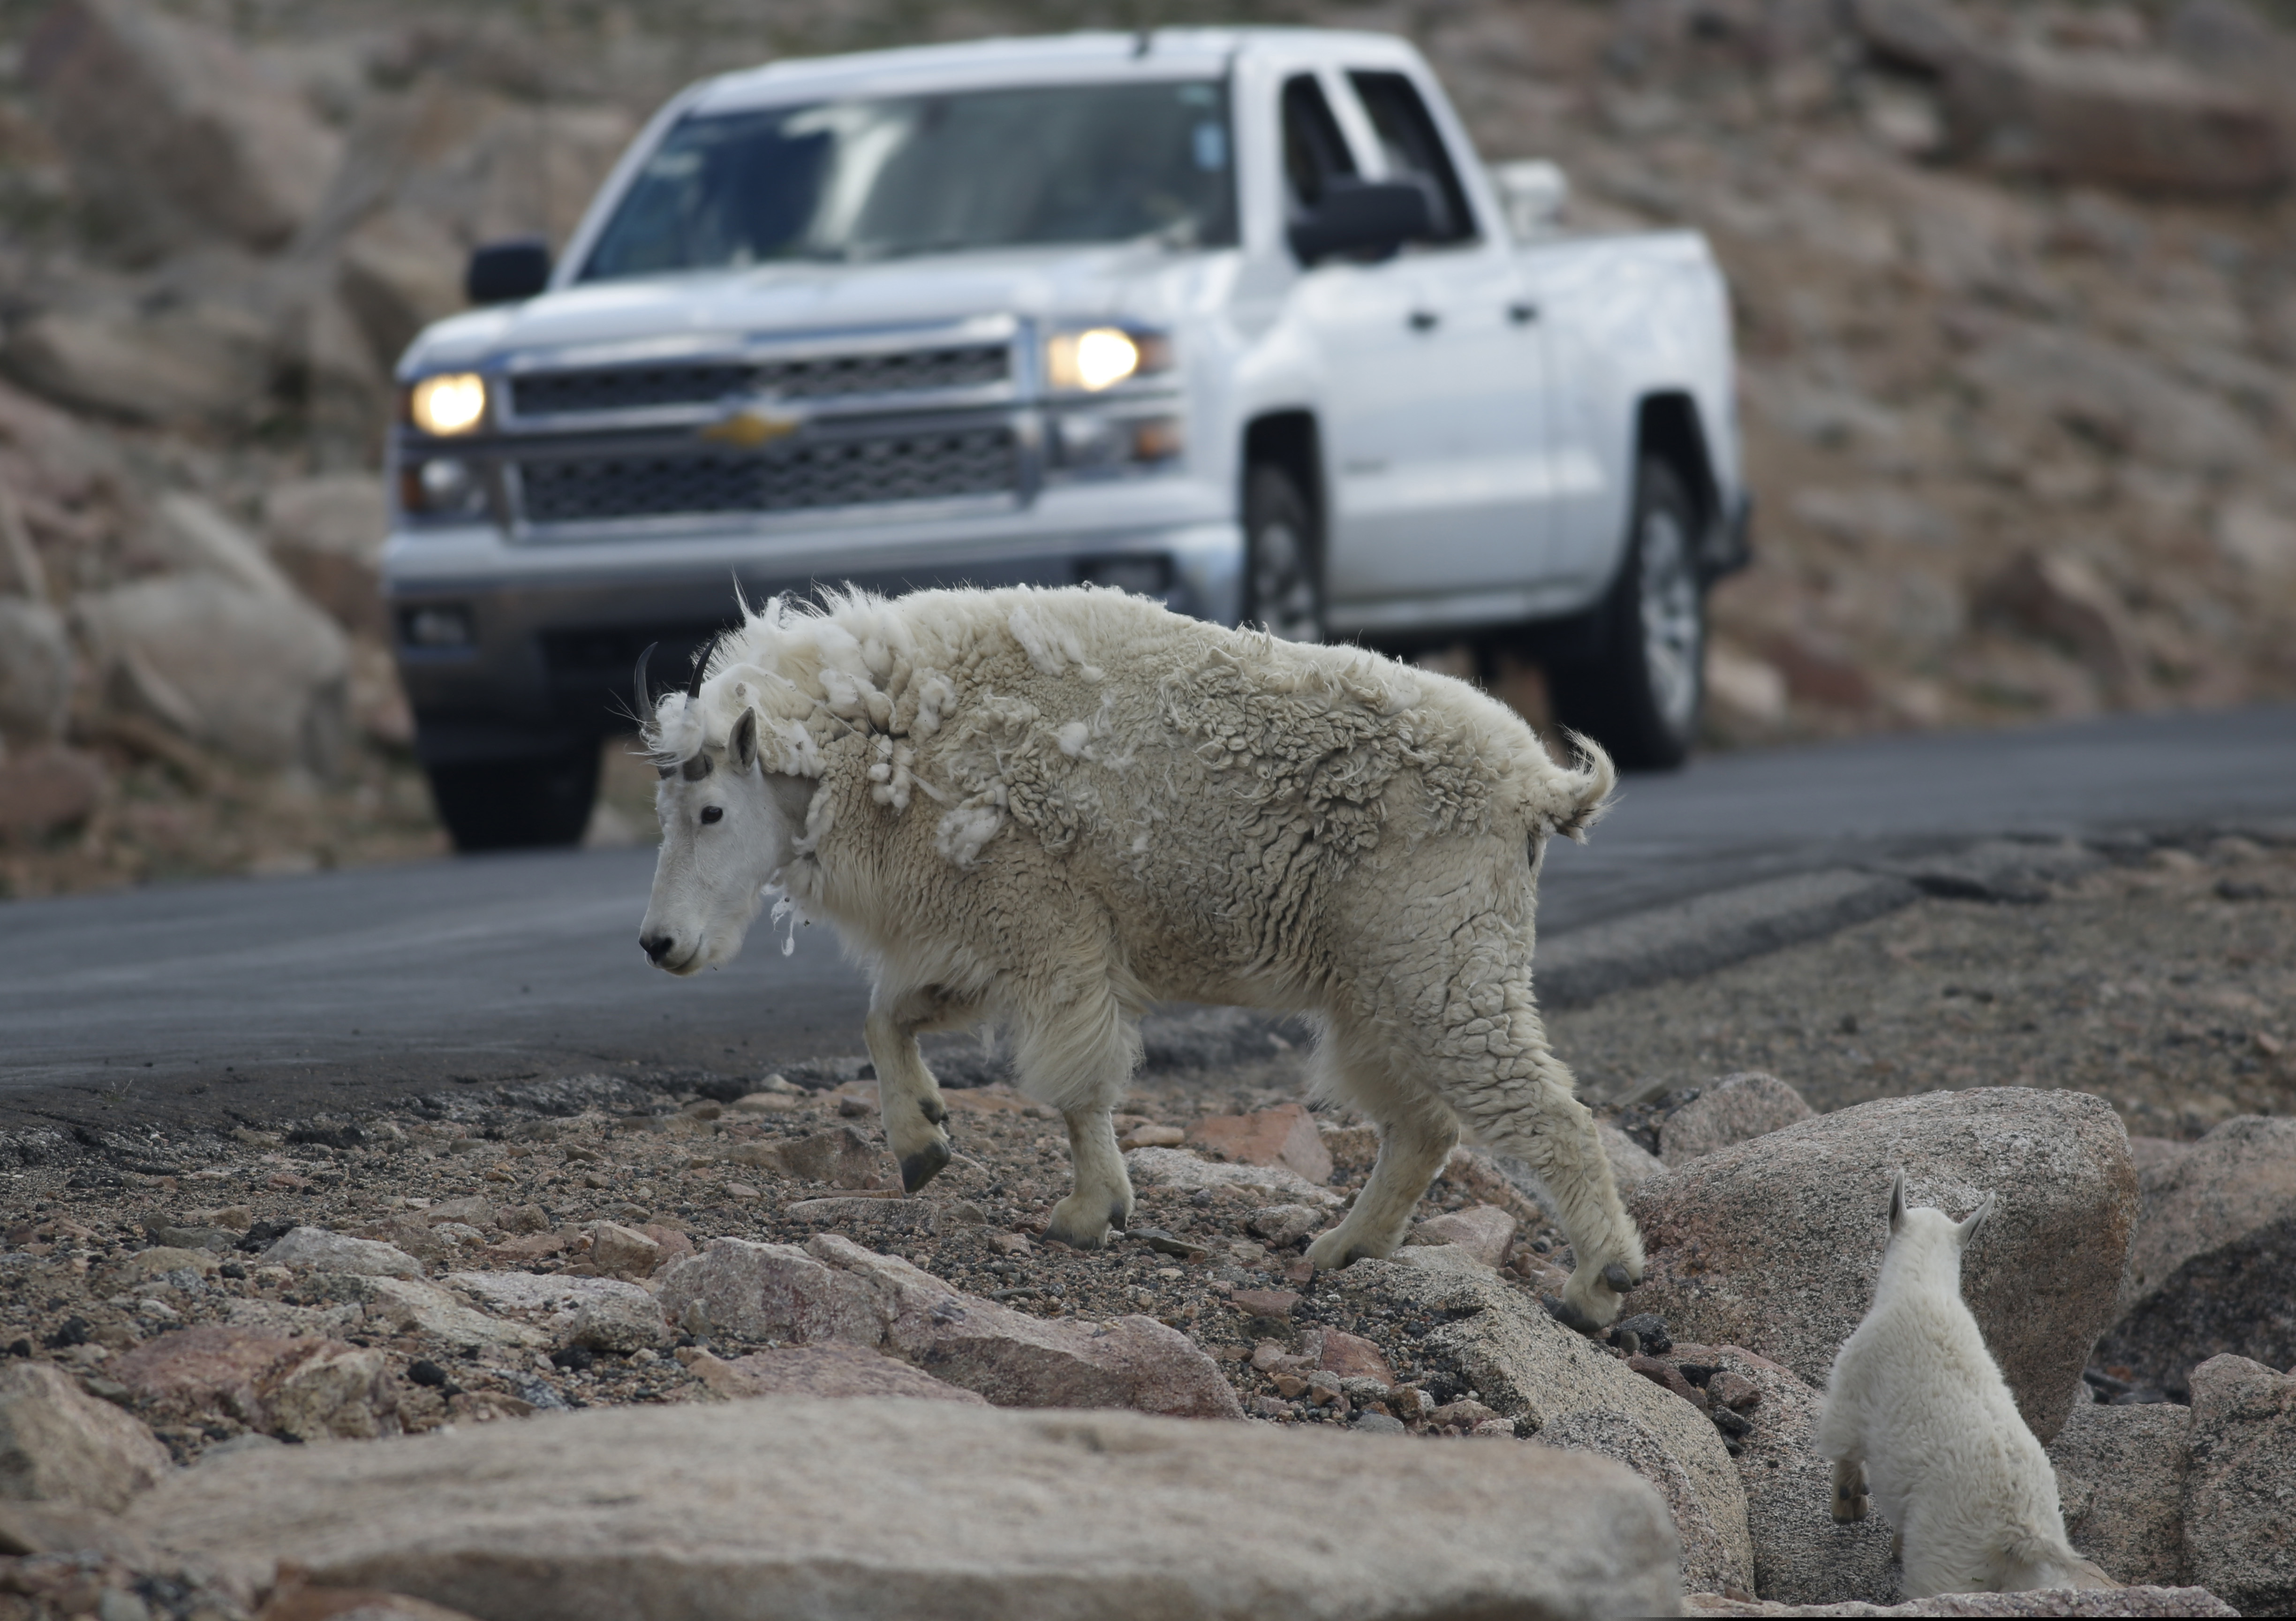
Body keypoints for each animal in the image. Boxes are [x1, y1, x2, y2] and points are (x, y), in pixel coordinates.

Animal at [635, 584, 1647, 1327]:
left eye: (712, 810)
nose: (659, 943)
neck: (884, 736)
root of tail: (1538, 788)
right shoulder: (981, 935)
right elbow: (889, 1016)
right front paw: (923, 1140)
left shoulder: (1047, 927)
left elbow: (1076, 1085)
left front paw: (1091, 1213)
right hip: (1377, 985)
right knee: (1423, 1123)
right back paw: (1344, 1248)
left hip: (1443, 961)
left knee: (1546, 1114)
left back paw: (1599, 1283)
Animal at [1816, 1171, 2116, 1598]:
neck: (1923, 1285)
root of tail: (2021, 1533)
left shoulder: (1855, 1378)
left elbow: (1844, 1445)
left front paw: (1847, 1506)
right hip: (2022, 1574)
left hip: (1951, 1556)